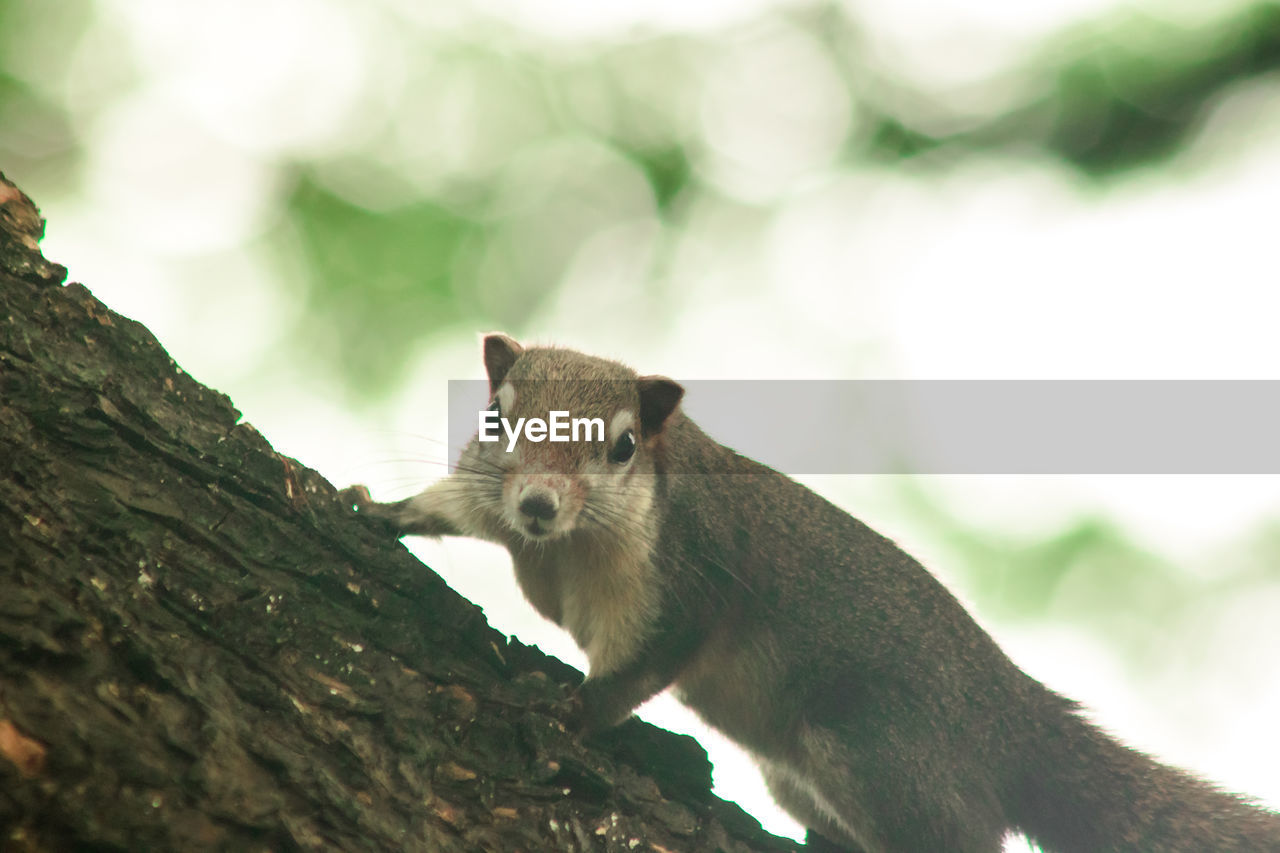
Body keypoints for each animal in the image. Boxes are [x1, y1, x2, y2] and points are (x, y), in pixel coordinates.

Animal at [340, 333, 1280, 850]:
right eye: (496, 417)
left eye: (622, 447)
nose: (537, 503)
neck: (565, 546)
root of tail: (1016, 716)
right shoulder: (491, 500)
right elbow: (451, 506)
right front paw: (380, 510)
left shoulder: (685, 575)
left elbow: (644, 664)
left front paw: (567, 708)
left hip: (879, 754)